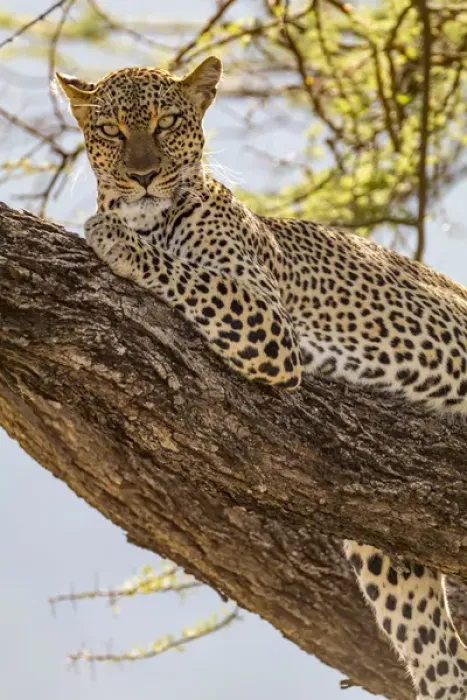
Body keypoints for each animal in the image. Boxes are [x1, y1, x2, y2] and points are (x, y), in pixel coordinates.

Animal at [57, 56, 467, 699]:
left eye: (166, 122)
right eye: (111, 131)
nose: (143, 177)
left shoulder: (268, 322)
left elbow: (186, 274)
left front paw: (110, 235)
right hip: (391, 554)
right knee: (442, 660)